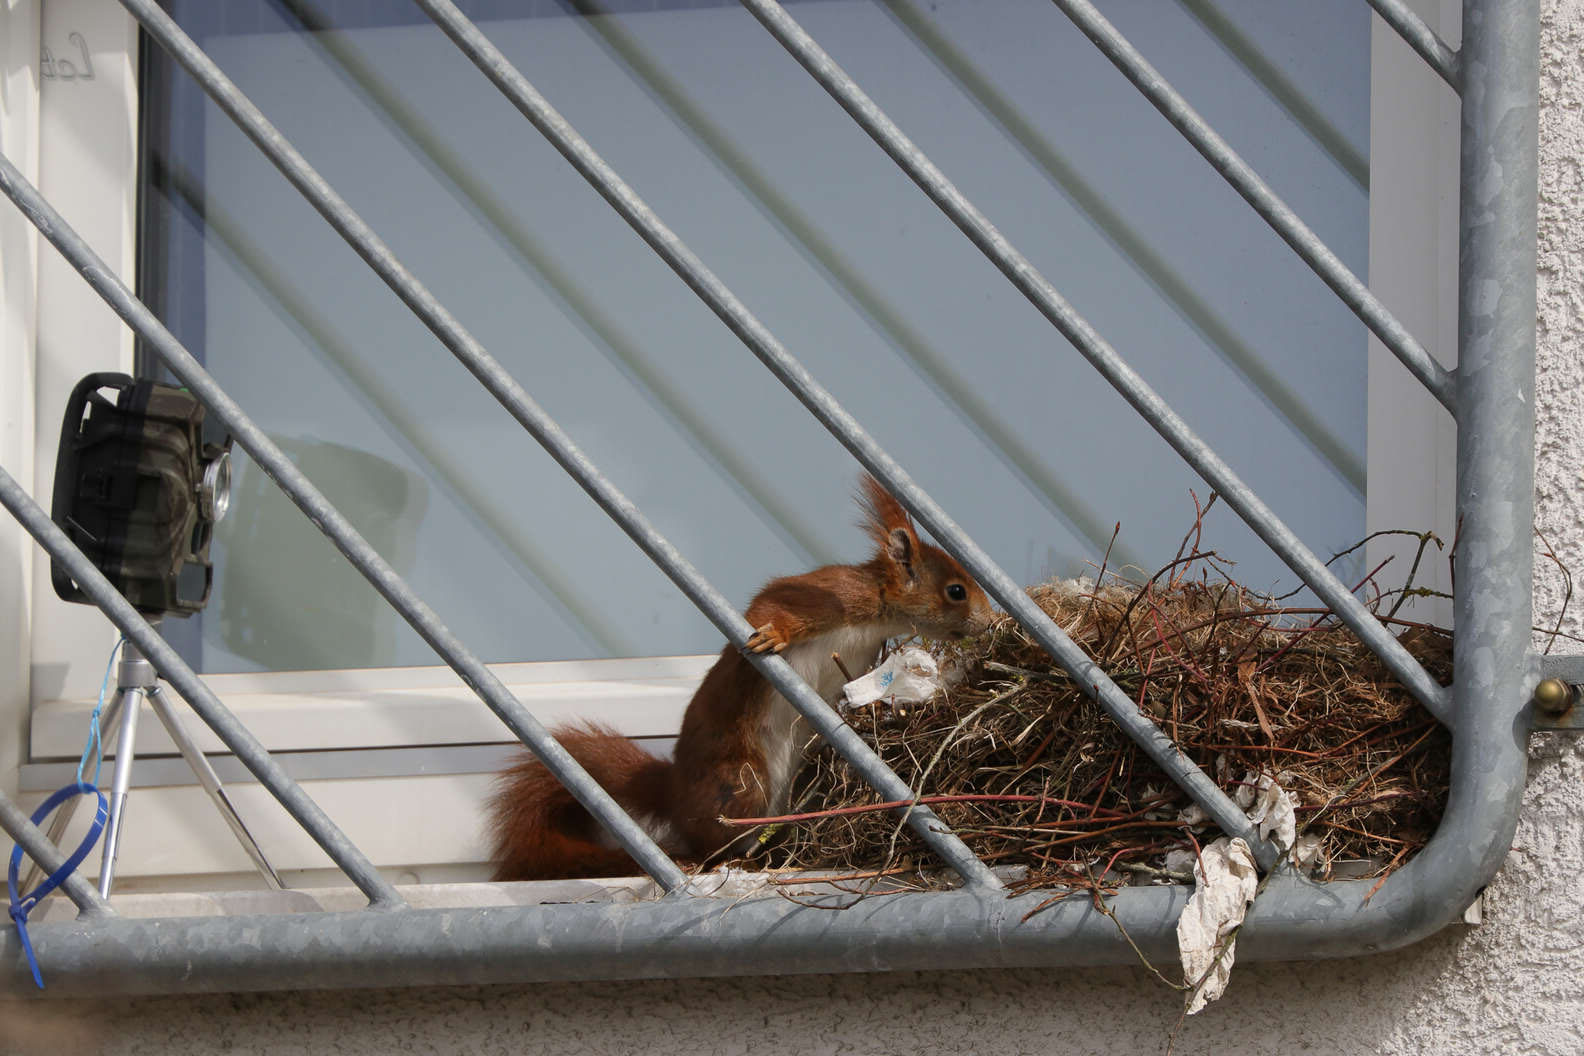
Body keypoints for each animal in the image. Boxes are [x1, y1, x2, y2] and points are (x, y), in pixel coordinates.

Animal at [487, 474, 995, 882]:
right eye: (956, 590)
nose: (989, 622)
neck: (876, 613)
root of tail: (674, 790)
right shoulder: (830, 596)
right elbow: (768, 611)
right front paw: (772, 636)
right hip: (743, 782)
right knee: (713, 842)